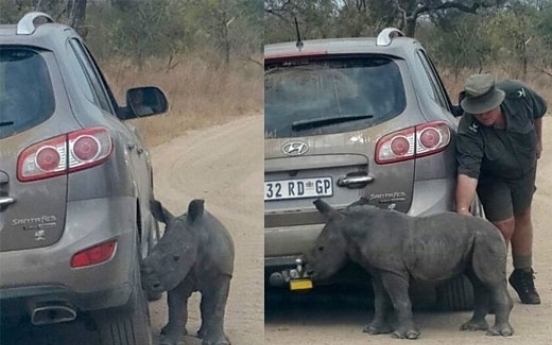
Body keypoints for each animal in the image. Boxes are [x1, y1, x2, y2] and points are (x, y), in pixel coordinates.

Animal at [141, 199, 234, 344]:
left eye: (176, 257)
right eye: (151, 252)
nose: (147, 283)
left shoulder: (222, 274)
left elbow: (216, 307)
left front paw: (219, 343)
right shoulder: (177, 276)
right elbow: (177, 309)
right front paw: (170, 342)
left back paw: (203, 335)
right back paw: (167, 331)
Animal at [304, 199, 512, 338]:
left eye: (321, 248)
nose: (309, 271)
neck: (352, 228)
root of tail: (497, 231)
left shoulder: (393, 270)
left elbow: (400, 299)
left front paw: (403, 335)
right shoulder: (380, 270)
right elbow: (380, 300)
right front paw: (373, 331)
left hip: (486, 239)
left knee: (489, 279)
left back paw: (497, 333)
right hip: (476, 240)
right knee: (477, 280)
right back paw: (473, 327)